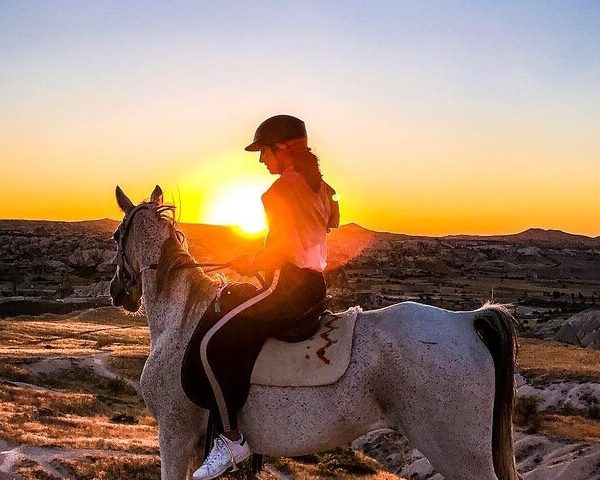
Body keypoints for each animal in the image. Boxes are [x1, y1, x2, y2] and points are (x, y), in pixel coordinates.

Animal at [110, 185, 524, 480]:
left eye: (116, 236)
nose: (117, 292)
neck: (183, 318)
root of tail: (468, 320)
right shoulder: (192, 440)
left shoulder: (175, 434)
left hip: (459, 452)